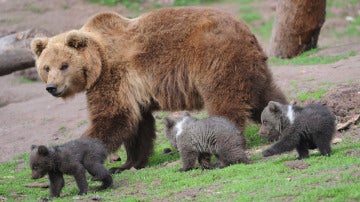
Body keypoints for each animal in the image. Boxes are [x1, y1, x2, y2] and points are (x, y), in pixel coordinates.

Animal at [32, 7, 288, 172]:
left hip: (216, 59)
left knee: (225, 101)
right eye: (46, 67)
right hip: (250, 66)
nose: (52, 87)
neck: (98, 62)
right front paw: (128, 163)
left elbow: (113, 117)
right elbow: (137, 126)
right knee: (266, 96)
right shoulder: (132, 90)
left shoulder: (113, 76)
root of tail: (245, 30)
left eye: (64, 65)